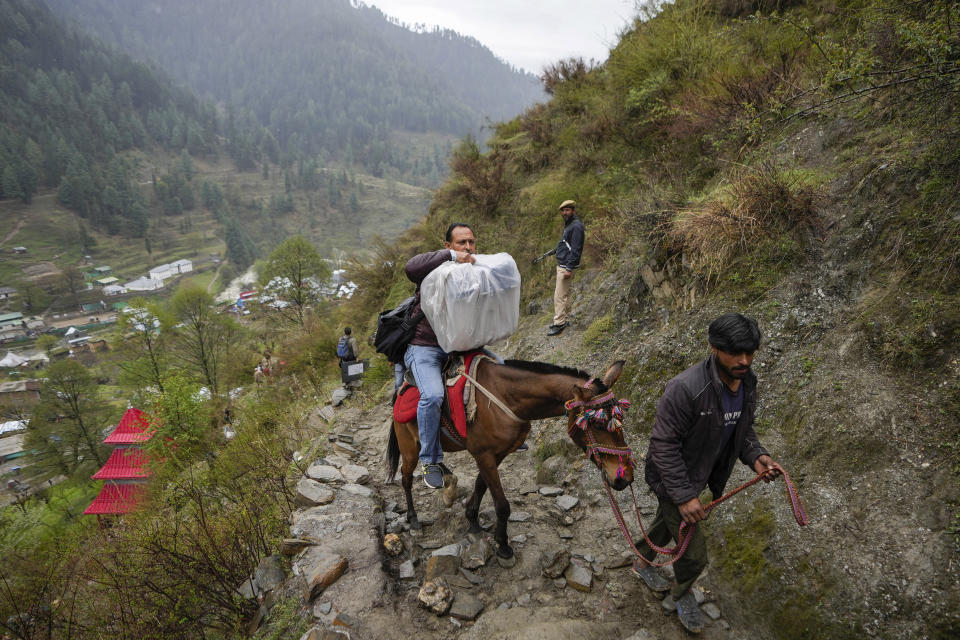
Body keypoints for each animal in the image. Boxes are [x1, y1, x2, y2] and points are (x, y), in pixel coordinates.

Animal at [386, 360, 632, 560]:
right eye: (597, 423)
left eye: (620, 419)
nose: (624, 478)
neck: (505, 398)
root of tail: (401, 391)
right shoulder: (483, 454)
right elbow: (502, 504)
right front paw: (503, 545)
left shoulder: (497, 454)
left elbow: (481, 484)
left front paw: (472, 518)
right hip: (409, 448)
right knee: (406, 479)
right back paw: (413, 519)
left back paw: (447, 482)